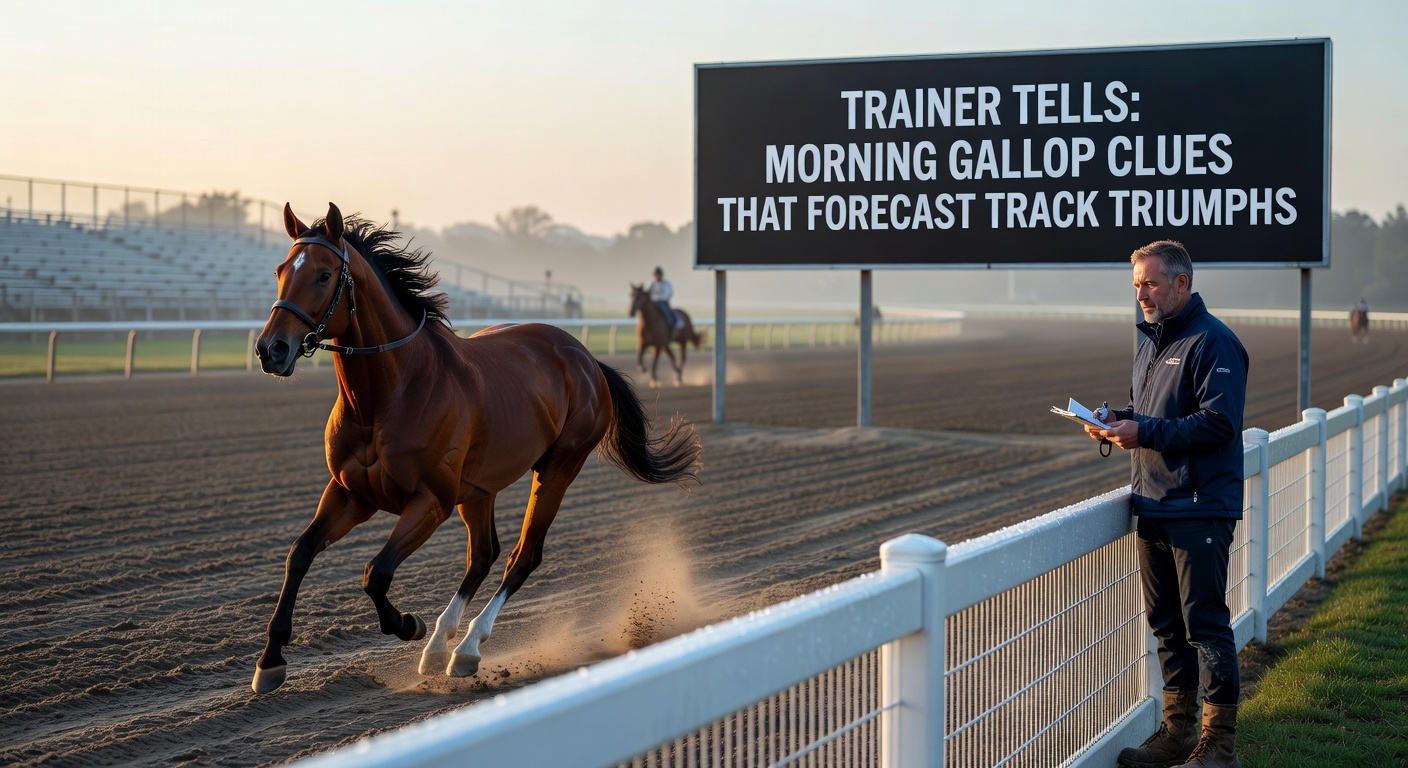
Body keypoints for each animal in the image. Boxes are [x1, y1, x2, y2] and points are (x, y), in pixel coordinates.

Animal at [251, 203, 701, 694]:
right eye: (279, 270)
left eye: (323, 274)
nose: (271, 349)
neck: (389, 394)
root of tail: (586, 358)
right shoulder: (351, 493)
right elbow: (299, 554)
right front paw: (269, 660)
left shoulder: (431, 500)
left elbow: (377, 573)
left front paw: (409, 624)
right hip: (480, 487)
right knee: (483, 554)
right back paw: (440, 645)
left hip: (558, 468)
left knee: (522, 556)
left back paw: (465, 647)